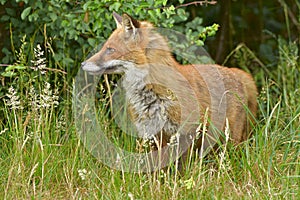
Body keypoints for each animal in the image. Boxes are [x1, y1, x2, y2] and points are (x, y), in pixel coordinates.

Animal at [82, 11, 258, 170]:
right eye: (105, 48)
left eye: (110, 49)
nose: (83, 64)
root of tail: (238, 73)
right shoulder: (151, 135)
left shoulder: (185, 134)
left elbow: (179, 169)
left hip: (229, 140)